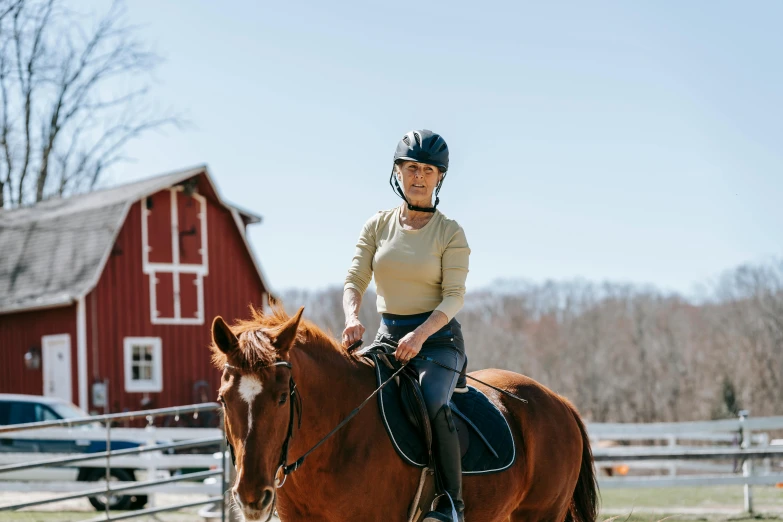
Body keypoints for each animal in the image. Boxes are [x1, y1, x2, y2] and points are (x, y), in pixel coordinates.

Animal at [210, 304, 600, 520]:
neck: (336, 442)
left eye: (281, 398)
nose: (251, 496)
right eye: (223, 400)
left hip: (539, 514)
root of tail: (559, 402)